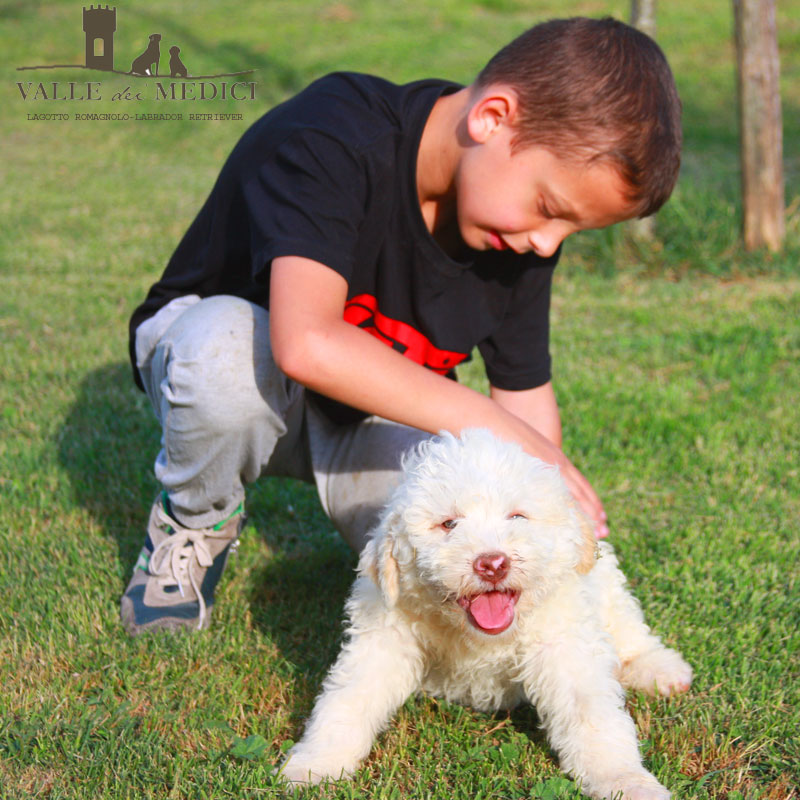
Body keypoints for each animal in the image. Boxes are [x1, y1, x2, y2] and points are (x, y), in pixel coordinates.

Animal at [282, 432, 692, 800]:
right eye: (449, 523)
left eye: (517, 516)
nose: (492, 564)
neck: (479, 637)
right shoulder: (383, 636)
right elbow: (348, 699)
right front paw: (314, 765)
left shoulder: (564, 643)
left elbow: (592, 714)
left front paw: (626, 782)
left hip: (604, 582)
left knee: (627, 627)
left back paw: (661, 670)